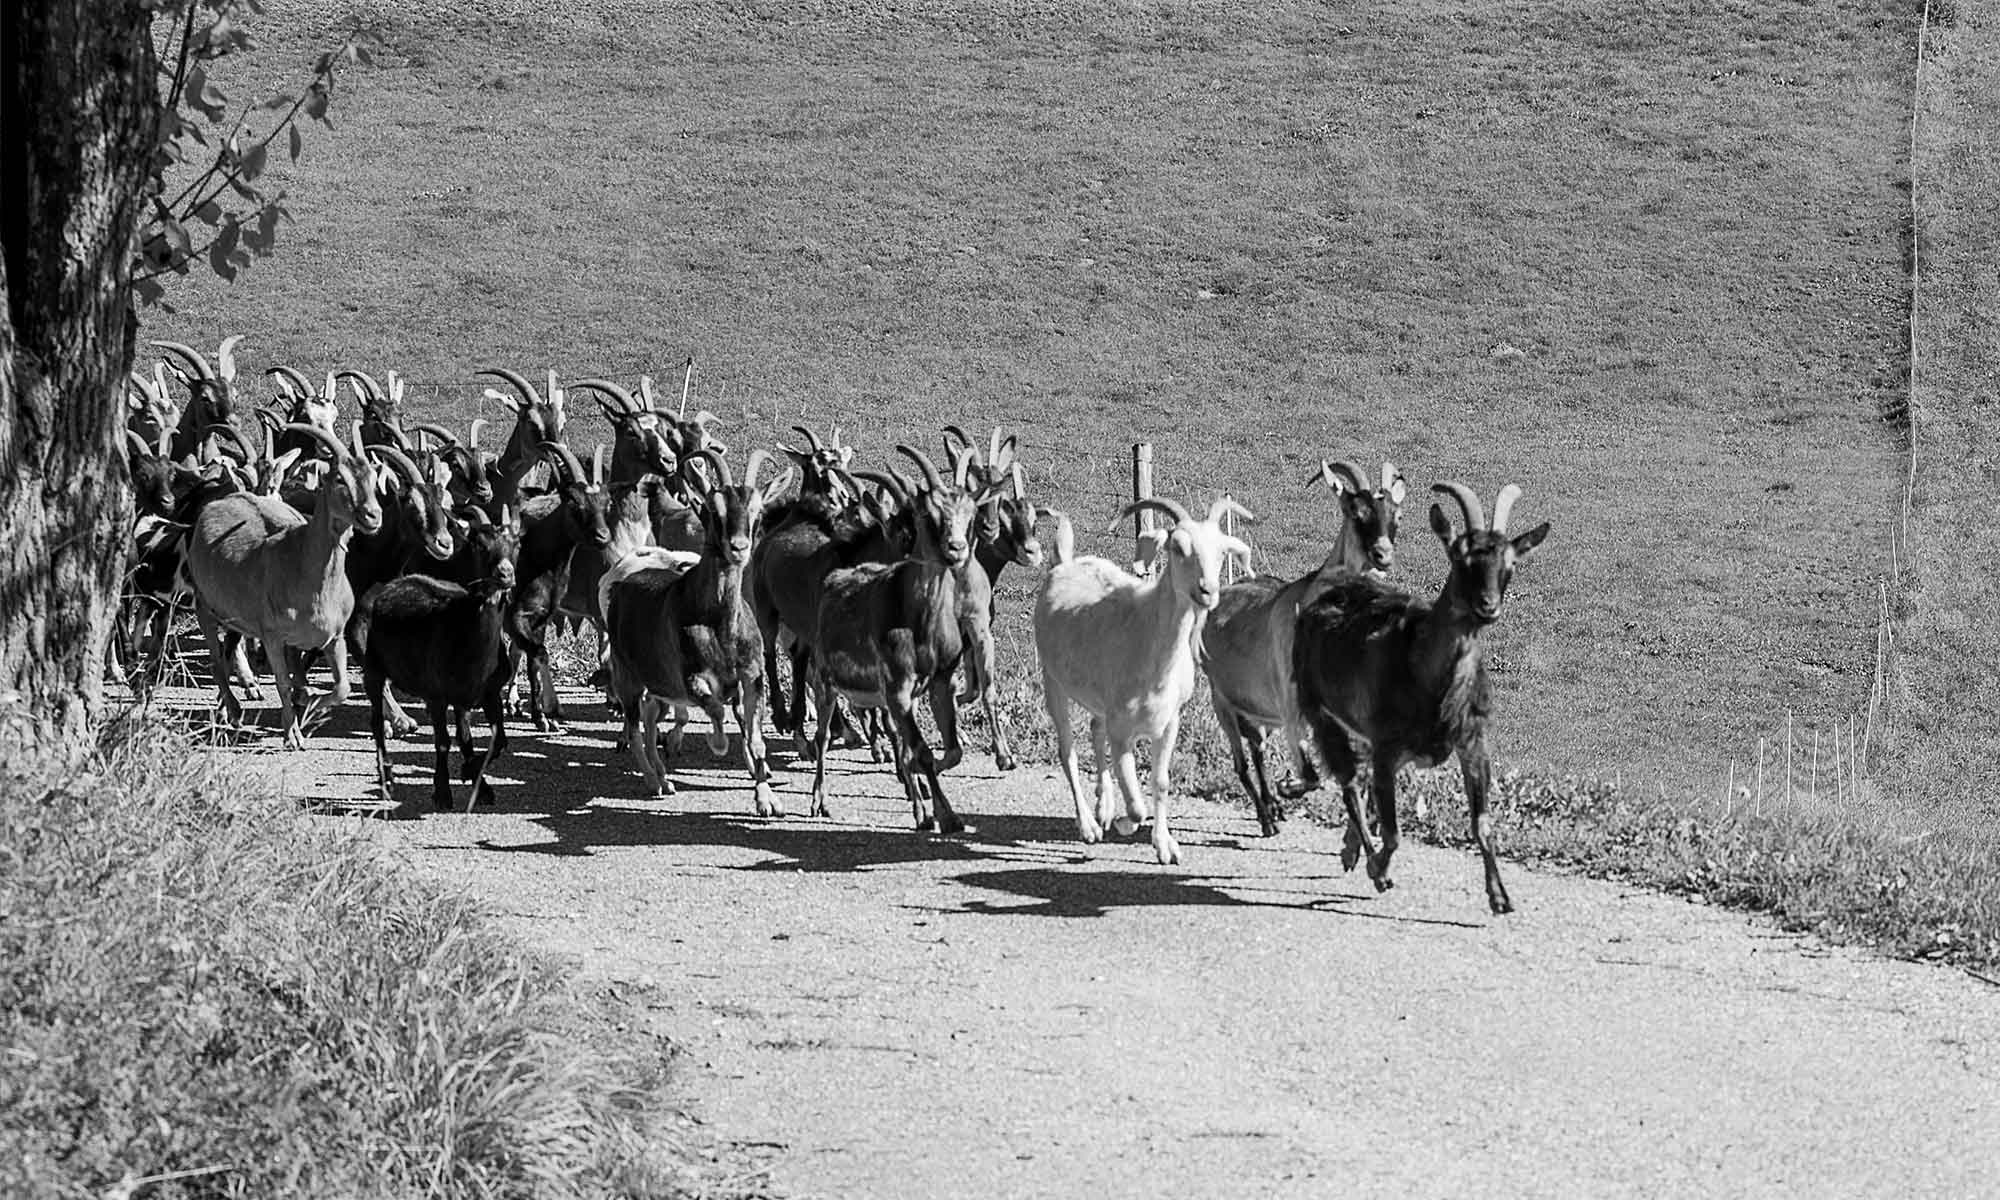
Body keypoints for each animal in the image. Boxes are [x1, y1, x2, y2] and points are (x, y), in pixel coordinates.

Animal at [182, 420, 384, 740]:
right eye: (339, 478)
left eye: (374, 477)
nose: (373, 516)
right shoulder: (272, 636)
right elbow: (282, 683)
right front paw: (293, 734)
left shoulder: (334, 637)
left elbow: (341, 687)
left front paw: (311, 708)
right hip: (205, 605)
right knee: (216, 661)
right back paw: (234, 710)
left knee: (230, 653)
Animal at [364, 510, 524, 812]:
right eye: (478, 545)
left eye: (517, 544)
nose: (505, 574)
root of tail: (398, 580)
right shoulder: (435, 695)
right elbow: (443, 742)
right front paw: (442, 791)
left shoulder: (488, 693)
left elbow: (496, 740)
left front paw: (476, 778)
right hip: (373, 667)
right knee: (377, 721)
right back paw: (386, 777)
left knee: (464, 735)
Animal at [1032, 494, 1248, 864]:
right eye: (1177, 547)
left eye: (1221, 552)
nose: (1207, 591)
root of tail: (1063, 563)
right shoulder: (1122, 729)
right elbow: (1135, 805)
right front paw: (1125, 823)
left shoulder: (1170, 721)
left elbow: (1160, 782)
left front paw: (1165, 846)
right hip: (1053, 679)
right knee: (1068, 750)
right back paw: (1090, 824)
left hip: (1097, 698)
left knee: (1095, 728)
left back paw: (1103, 807)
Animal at [1288, 478, 1552, 908]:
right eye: (1460, 558)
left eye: (1511, 563)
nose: (1488, 606)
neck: (1429, 680)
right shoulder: (1386, 746)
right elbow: (1393, 832)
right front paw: (1379, 870)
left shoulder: (1473, 742)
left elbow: (1482, 823)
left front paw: (1500, 896)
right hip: (1318, 706)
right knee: (1349, 782)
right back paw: (1361, 856)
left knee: (1357, 781)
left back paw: (1350, 847)